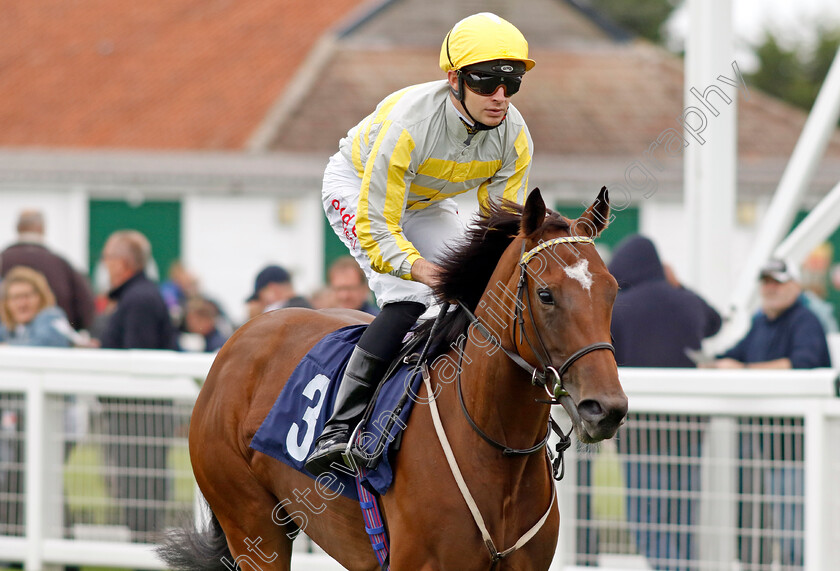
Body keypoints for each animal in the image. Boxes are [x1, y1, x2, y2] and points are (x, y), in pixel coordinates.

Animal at [161, 187, 628, 568]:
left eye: (613, 290)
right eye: (546, 294)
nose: (605, 408)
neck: (496, 448)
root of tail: (242, 336)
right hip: (251, 523)